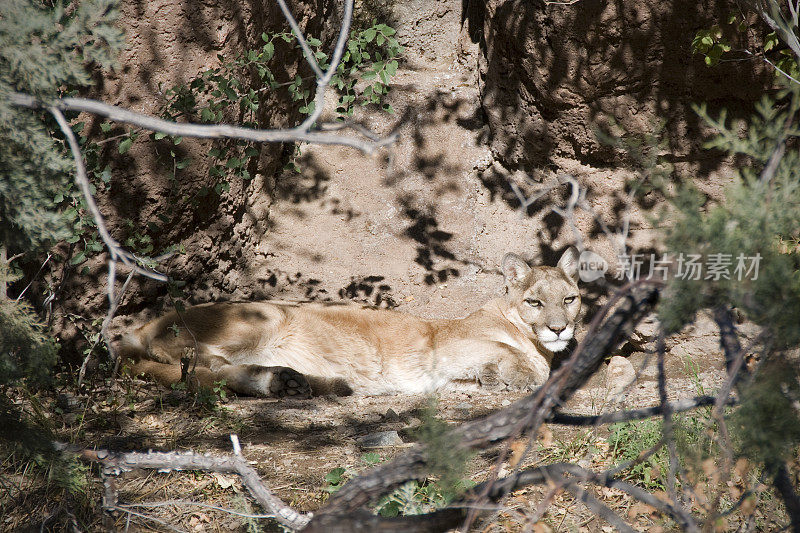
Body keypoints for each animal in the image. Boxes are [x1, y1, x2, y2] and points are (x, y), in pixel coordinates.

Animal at [120, 248, 580, 394]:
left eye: (570, 299)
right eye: (535, 302)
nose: (559, 328)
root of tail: (140, 327)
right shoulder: (442, 345)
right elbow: (507, 353)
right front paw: (521, 375)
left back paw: (301, 383)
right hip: (266, 314)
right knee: (200, 367)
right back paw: (284, 381)